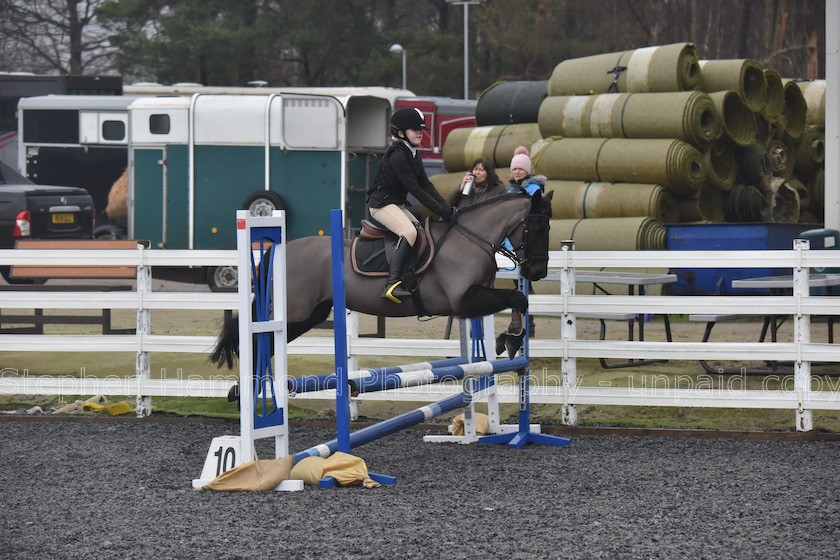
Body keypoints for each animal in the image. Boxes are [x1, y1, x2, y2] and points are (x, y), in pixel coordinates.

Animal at [209, 190, 552, 382]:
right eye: (537, 227)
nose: (537, 271)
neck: (471, 237)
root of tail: (280, 249)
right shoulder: (463, 301)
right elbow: (517, 297)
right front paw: (512, 338)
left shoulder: (477, 297)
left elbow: (518, 299)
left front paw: (510, 338)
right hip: (295, 313)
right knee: (259, 339)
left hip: (311, 314)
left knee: (264, 342)